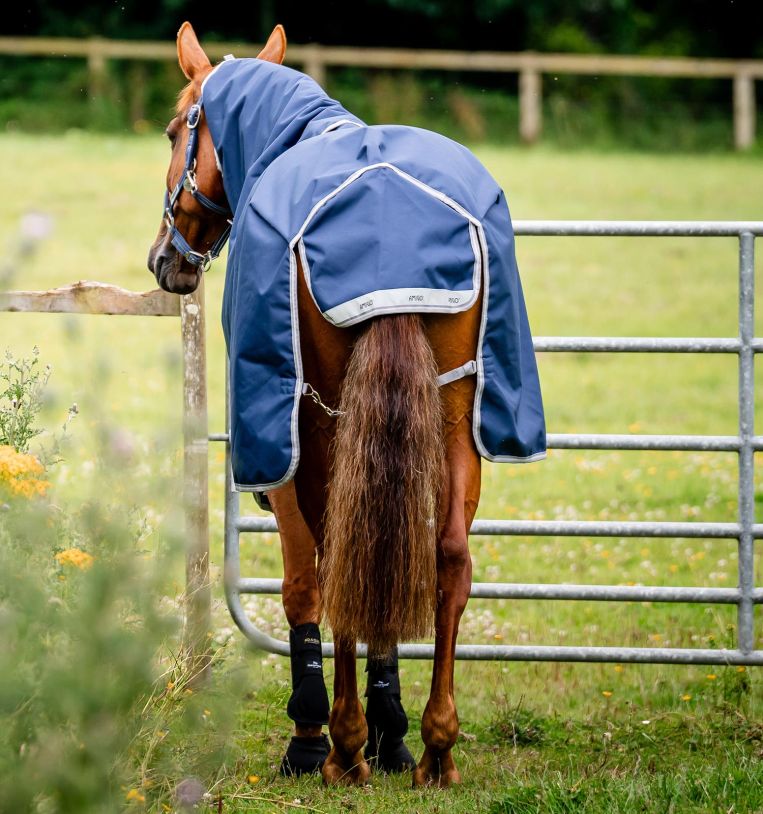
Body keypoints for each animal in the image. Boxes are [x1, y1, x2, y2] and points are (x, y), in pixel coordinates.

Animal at [147, 23, 545, 787]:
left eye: (175, 131)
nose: (164, 261)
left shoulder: (287, 452)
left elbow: (306, 583)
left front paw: (313, 734)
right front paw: (392, 734)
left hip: (322, 425)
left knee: (338, 564)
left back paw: (341, 743)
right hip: (454, 418)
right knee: (446, 559)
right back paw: (435, 747)